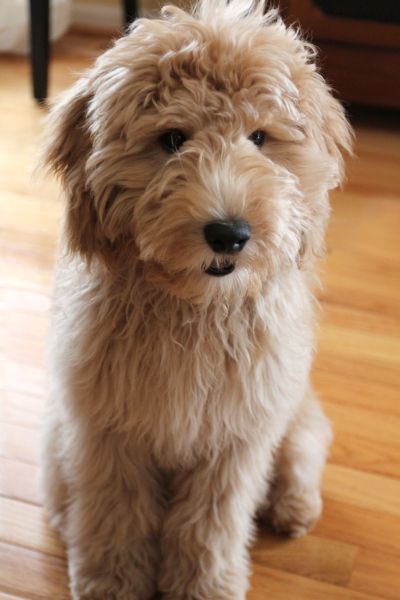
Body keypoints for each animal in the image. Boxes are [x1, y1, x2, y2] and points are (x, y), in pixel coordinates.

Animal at [41, 2, 350, 596]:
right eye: (172, 139)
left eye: (259, 137)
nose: (229, 234)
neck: (194, 307)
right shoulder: (109, 429)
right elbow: (115, 508)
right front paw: (112, 578)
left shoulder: (236, 437)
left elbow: (210, 523)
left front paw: (205, 584)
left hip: (292, 412)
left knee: (304, 451)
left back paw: (294, 508)